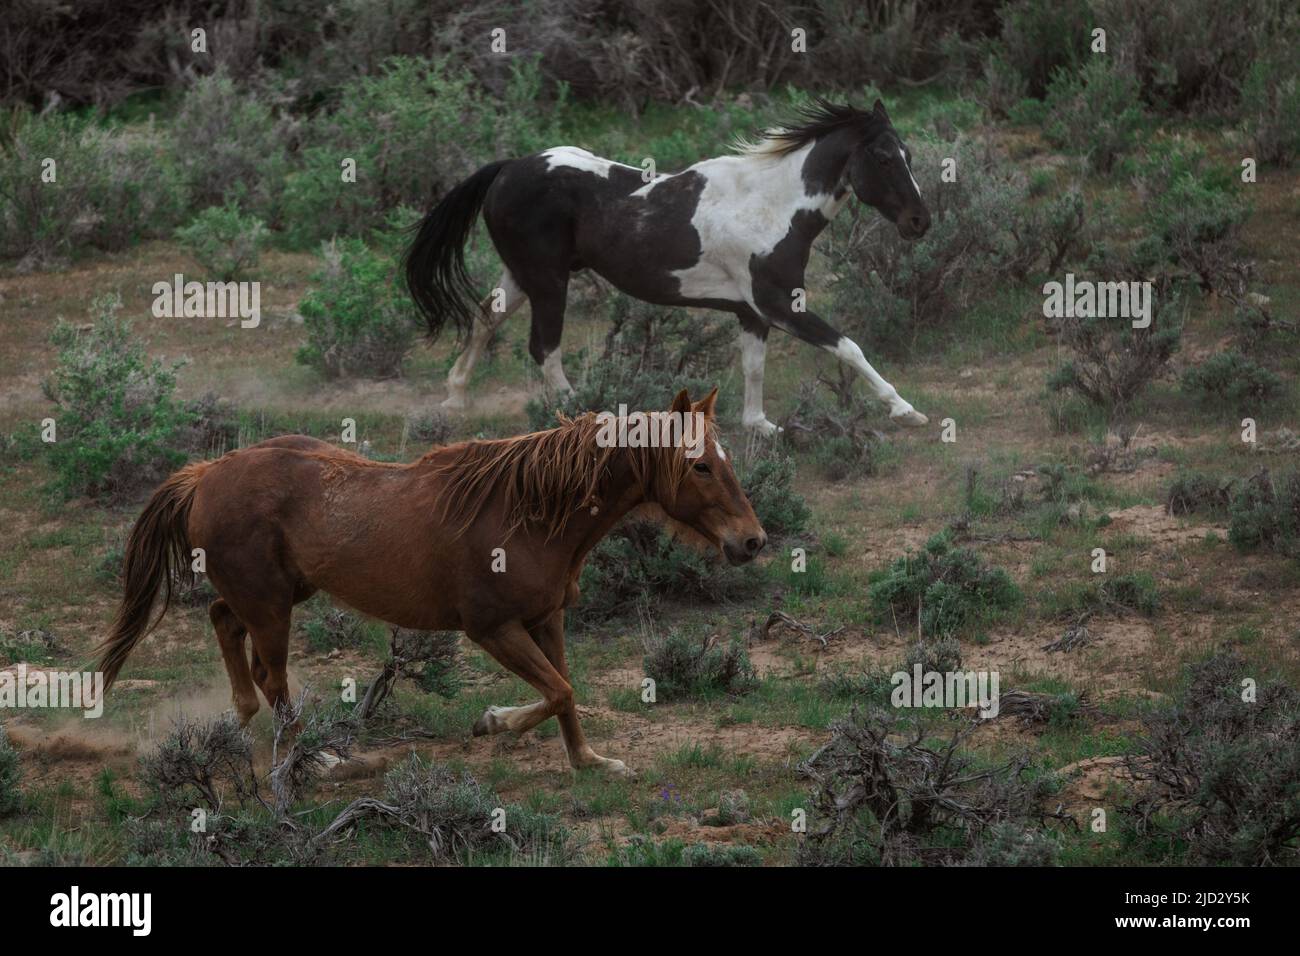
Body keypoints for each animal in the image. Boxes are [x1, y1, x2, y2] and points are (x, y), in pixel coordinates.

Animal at [96, 389, 763, 775]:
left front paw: (589, 761)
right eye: (700, 466)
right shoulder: (492, 629)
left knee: (224, 626)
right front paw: (493, 721)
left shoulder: (548, 618)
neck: (530, 513)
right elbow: (557, 692)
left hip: (279, 594)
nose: (752, 540)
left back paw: (239, 725)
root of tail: (205, 474)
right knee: (272, 676)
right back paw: (318, 758)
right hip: (272, 606)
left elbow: (565, 691)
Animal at [404, 98, 931, 435]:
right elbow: (848, 347)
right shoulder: (781, 304)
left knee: (483, 320)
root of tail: (508, 167)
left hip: (521, 275)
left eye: (907, 154)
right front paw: (906, 411)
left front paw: (760, 425)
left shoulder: (753, 312)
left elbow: (754, 367)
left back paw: (455, 398)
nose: (920, 221)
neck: (772, 207)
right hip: (548, 282)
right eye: (884, 157)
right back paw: (584, 412)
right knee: (543, 348)